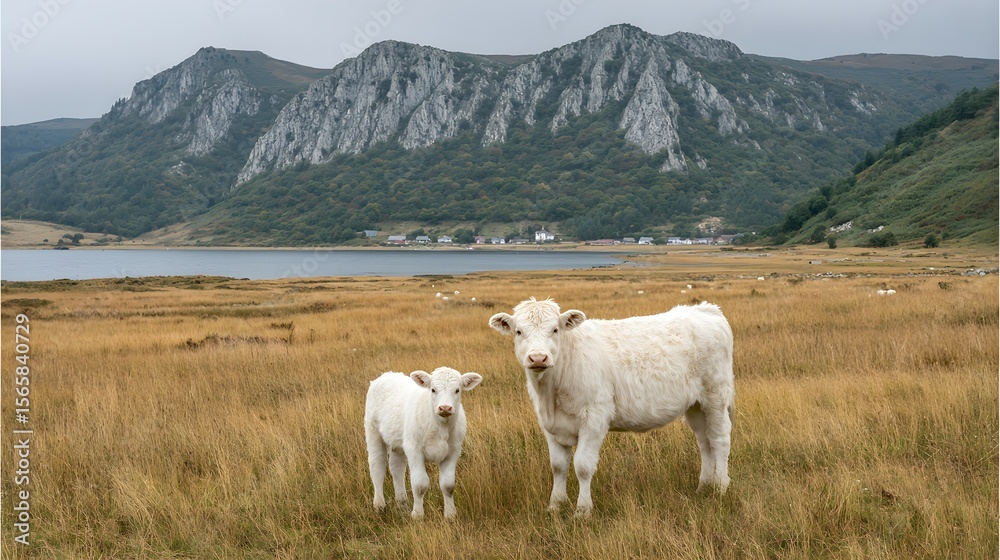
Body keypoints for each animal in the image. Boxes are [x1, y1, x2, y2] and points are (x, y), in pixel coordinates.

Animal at [364, 367, 483, 519]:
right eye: (433, 389)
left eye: (457, 390)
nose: (445, 408)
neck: (440, 427)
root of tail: (387, 375)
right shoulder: (414, 450)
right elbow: (419, 484)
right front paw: (417, 515)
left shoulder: (453, 452)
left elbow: (448, 485)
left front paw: (450, 515)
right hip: (373, 432)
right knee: (377, 467)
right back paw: (379, 505)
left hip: (398, 443)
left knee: (396, 468)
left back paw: (402, 504)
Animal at [489, 298, 734, 517]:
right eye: (518, 331)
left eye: (555, 329)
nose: (538, 358)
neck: (551, 394)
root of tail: (706, 309)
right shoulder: (549, 425)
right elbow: (558, 465)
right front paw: (556, 505)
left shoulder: (595, 418)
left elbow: (583, 466)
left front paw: (583, 510)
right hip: (695, 406)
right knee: (704, 442)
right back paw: (703, 486)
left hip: (716, 396)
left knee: (720, 439)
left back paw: (721, 487)